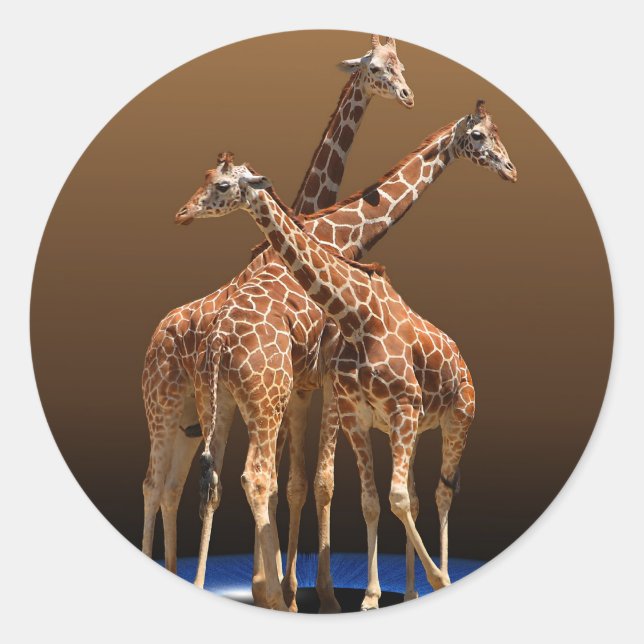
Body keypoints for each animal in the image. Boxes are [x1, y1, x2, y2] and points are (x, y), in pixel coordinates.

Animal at [141, 34, 413, 610]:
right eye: (377, 69)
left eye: (399, 66)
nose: (407, 96)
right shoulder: (320, 380)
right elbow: (308, 480)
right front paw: (308, 594)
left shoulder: (299, 387)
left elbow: (294, 482)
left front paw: (287, 588)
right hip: (166, 406)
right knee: (161, 484)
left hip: (190, 417)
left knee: (177, 484)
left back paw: (182, 574)